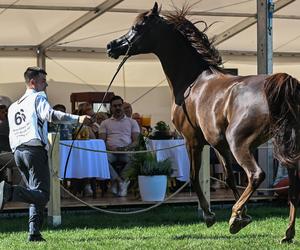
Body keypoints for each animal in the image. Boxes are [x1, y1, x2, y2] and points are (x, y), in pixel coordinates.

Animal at [107, 1, 300, 243]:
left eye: (138, 27)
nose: (111, 46)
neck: (193, 83)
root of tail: (282, 83)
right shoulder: (218, 145)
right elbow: (229, 177)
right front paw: (244, 214)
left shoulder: (193, 141)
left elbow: (193, 176)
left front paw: (213, 215)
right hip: (285, 146)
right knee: (293, 186)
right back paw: (287, 233)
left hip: (241, 144)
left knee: (256, 175)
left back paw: (234, 218)